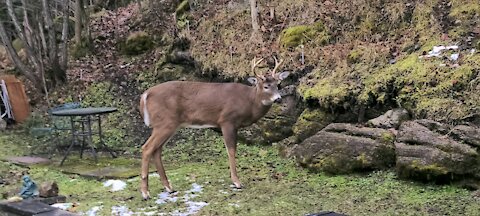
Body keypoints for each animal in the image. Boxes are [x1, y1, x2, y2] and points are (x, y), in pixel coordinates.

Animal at [139, 55, 288, 199]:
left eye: (278, 84)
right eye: (266, 86)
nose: (278, 99)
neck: (249, 102)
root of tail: (145, 95)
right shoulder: (227, 120)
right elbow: (231, 151)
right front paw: (237, 182)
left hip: (168, 125)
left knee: (157, 150)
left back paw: (169, 188)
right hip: (165, 122)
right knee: (147, 148)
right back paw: (146, 193)